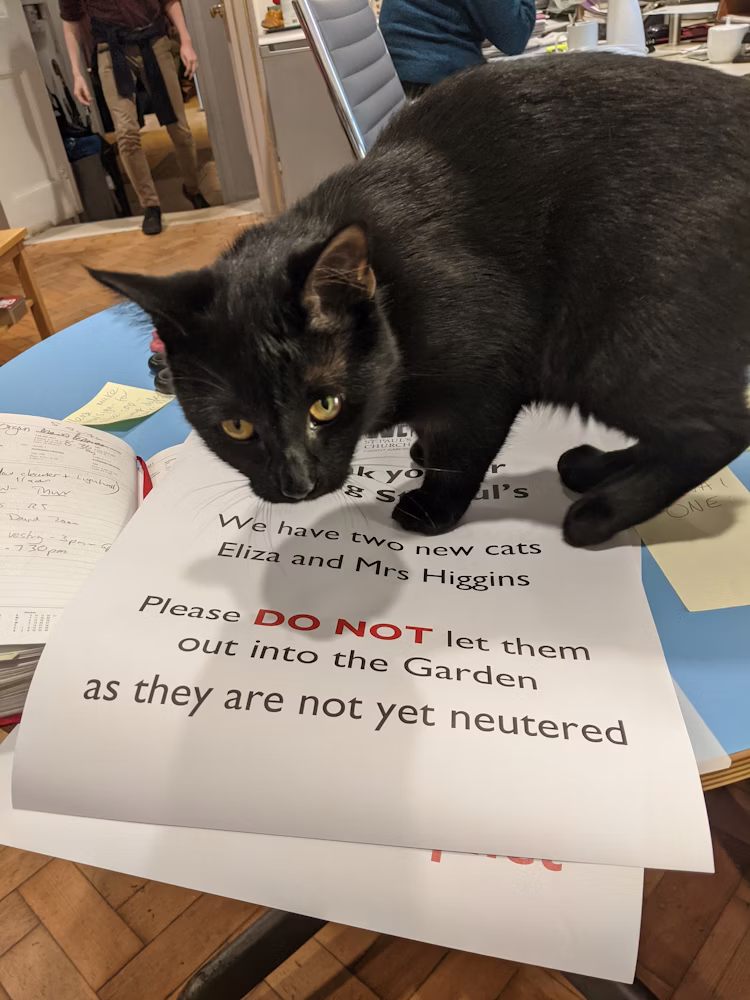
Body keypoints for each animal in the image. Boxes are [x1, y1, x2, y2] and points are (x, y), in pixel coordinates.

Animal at [92, 53, 750, 547]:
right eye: (235, 426)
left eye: (325, 405)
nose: (296, 484)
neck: (395, 294)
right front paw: (418, 448)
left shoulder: (491, 371)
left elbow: (462, 450)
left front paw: (432, 505)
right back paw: (594, 468)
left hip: (610, 348)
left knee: (721, 430)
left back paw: (598, 514)